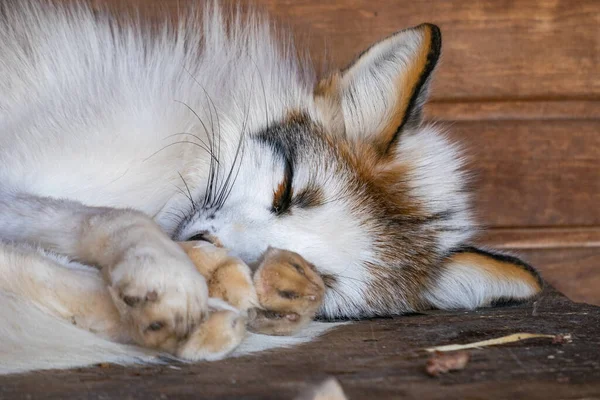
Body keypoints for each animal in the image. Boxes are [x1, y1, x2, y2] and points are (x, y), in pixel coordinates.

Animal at [0, 0, 544, 376]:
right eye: (287, 189)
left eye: (313, 274)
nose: (201, 245)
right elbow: (109, 217)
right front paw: (162, 275)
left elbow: (29, 269)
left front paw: (182, 317)